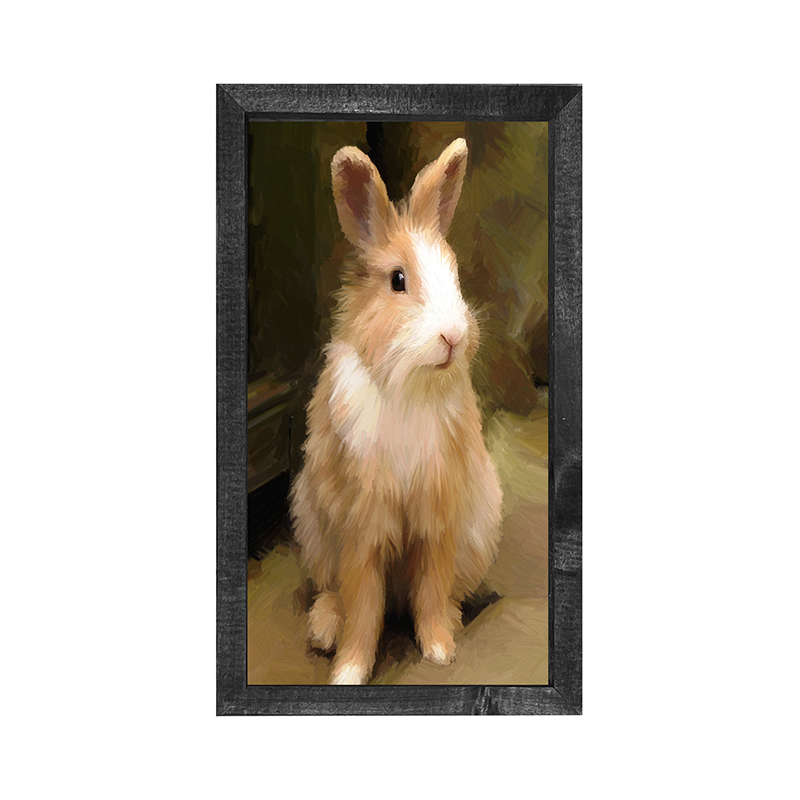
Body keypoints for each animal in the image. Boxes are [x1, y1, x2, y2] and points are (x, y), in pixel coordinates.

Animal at [289, 138, 503, 685]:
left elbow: (430, 585)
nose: (454, 336)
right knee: (335, 592)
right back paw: (323, 630)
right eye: (398, 280)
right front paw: (348, 671)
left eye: (453, 274)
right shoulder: (362, 522)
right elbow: (364, 602)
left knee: (443, 592)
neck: (409, 384)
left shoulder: (437, 513)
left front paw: (440, 650)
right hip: (314, 528)